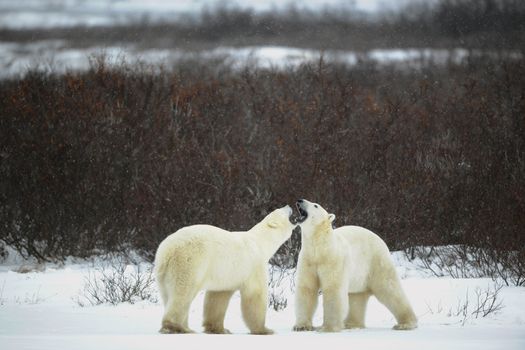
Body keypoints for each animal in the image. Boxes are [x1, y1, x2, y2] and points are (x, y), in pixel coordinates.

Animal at [154, 205, 296, 336]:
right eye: (281, 210)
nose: (289, 205)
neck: (261, 242)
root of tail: (167, 250)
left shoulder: (227, 274)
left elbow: (218, 297)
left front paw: (220, 329)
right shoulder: (254, 265)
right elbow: (255, 295)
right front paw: (265, 330)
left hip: (164, 273)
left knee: (167, 295)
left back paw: (185, 327)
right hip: (190, 262)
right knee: (183, 292)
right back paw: (176, 327)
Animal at [292, 200, 416, 330]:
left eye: (315, 205)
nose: (300, 200)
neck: (321, 248)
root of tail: (381, 240)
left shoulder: (333, 260)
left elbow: (333, 289)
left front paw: (328, 327)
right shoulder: (308, 260)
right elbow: (306, 288)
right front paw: (301, 326)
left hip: (376, 261)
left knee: (389, 288)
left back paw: (405, 324)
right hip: (360, 275)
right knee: (356, 297)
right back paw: (351, 324)